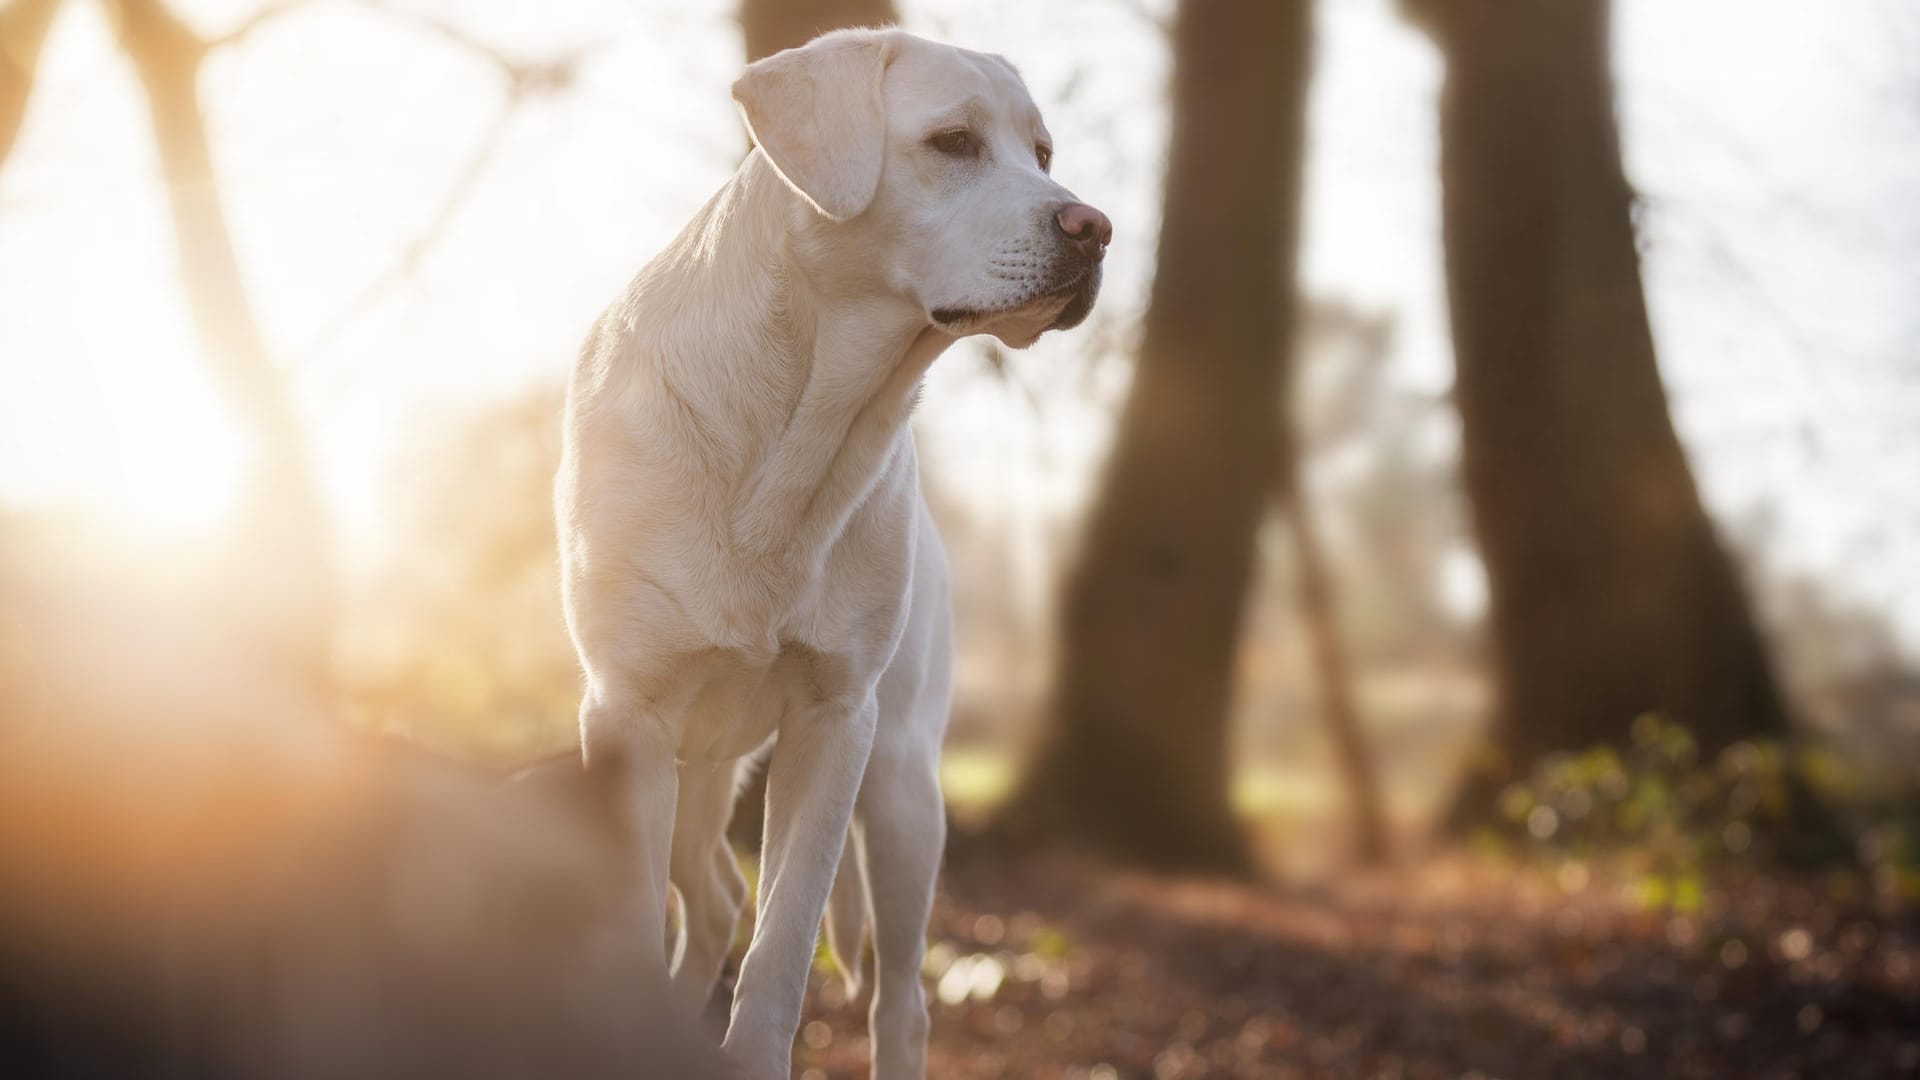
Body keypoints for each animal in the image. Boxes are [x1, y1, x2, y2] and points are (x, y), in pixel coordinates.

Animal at [556, 27, 1113, 1076]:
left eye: (1042, 153)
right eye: (953, 142)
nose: (1096, 227)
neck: (797, 422)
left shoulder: (834, 723)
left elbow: (780, 948)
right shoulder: (627, 717)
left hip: (901, 793)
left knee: (897, 999)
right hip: (698, 769)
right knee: (712, 900)